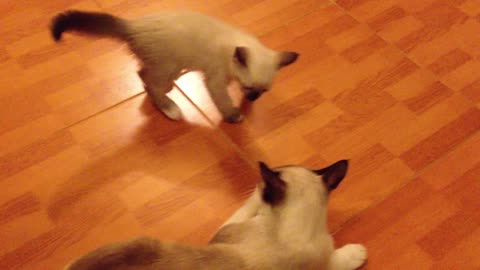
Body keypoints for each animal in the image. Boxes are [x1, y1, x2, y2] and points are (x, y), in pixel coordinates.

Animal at [51, 10, 300, 122]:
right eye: (249, 88)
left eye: (264, 91)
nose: (253, 98)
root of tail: (133, 26)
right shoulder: (215, 80)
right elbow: (224, 101)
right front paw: (234, 115)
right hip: (168, 64)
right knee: (150, 82)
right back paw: (170, 108)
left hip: (170, 65)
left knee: (143, 74)